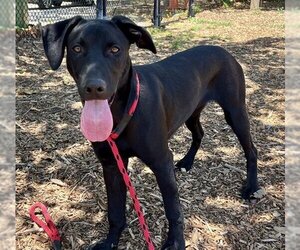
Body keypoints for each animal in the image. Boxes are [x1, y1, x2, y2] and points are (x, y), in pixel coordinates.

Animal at [41, 16, 258, 249]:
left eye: (115, 49)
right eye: (77, 48)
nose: (94, 88)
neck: (123, 111)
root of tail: (224, 51)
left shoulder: (161, 162)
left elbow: (173, 209)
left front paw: (175, 242)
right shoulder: (111, 164)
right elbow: (115, 211)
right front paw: (111, 241)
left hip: (235, 111)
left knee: (251, 149)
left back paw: (251, 187)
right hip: (191, 111)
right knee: (199, 133)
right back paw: (187, 162)